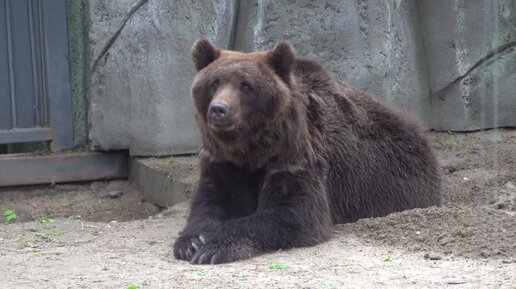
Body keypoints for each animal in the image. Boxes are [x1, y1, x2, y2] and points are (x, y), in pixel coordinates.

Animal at [173, 38, 440, 264]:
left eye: (246, 86)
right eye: (214, 83)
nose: (219, 109)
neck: (252, 150)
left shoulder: (296, 156)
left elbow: (295, 212)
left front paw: (213, 247)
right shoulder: (223, 162)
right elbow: (209, 203)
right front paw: (191, 242)